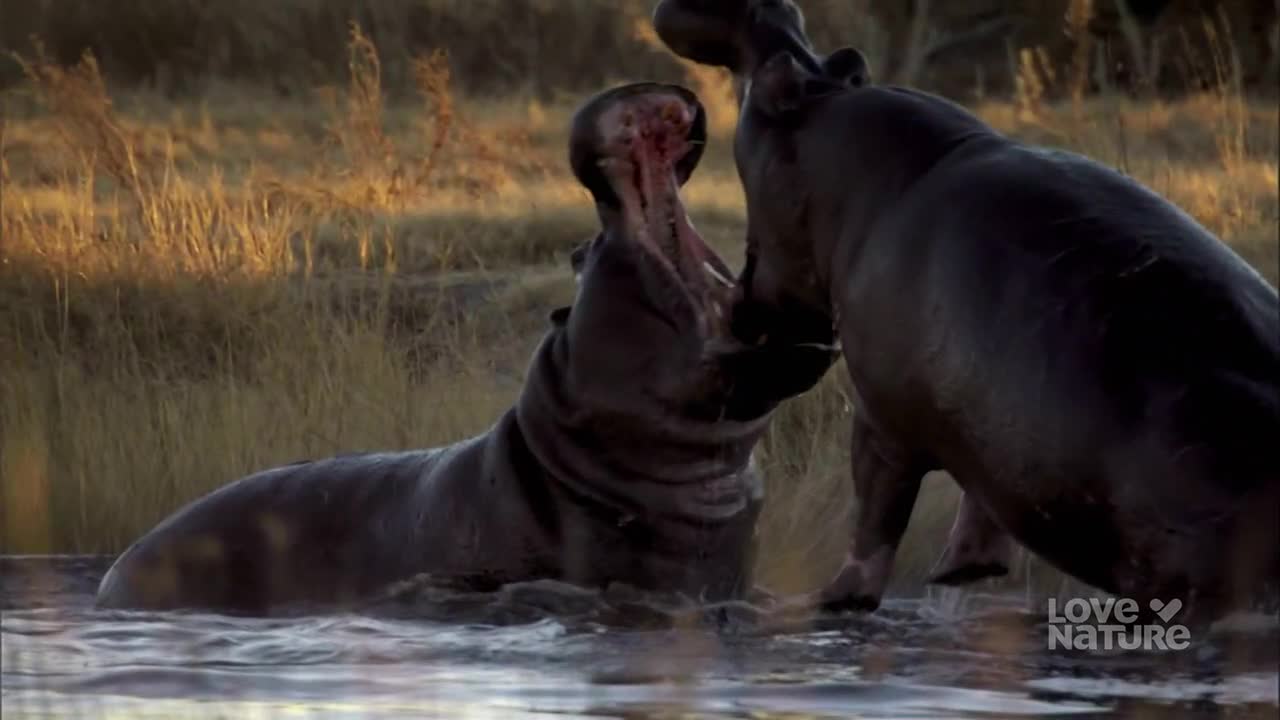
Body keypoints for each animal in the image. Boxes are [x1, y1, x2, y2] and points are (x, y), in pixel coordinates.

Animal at [652, 0, 1280, 627]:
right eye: (845, 59)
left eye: (772, 82)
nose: (768, 8)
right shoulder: (981, 409)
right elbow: (981, 492)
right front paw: (965, 569)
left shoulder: (880, 413)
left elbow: (876, 513)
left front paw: (833, 600)